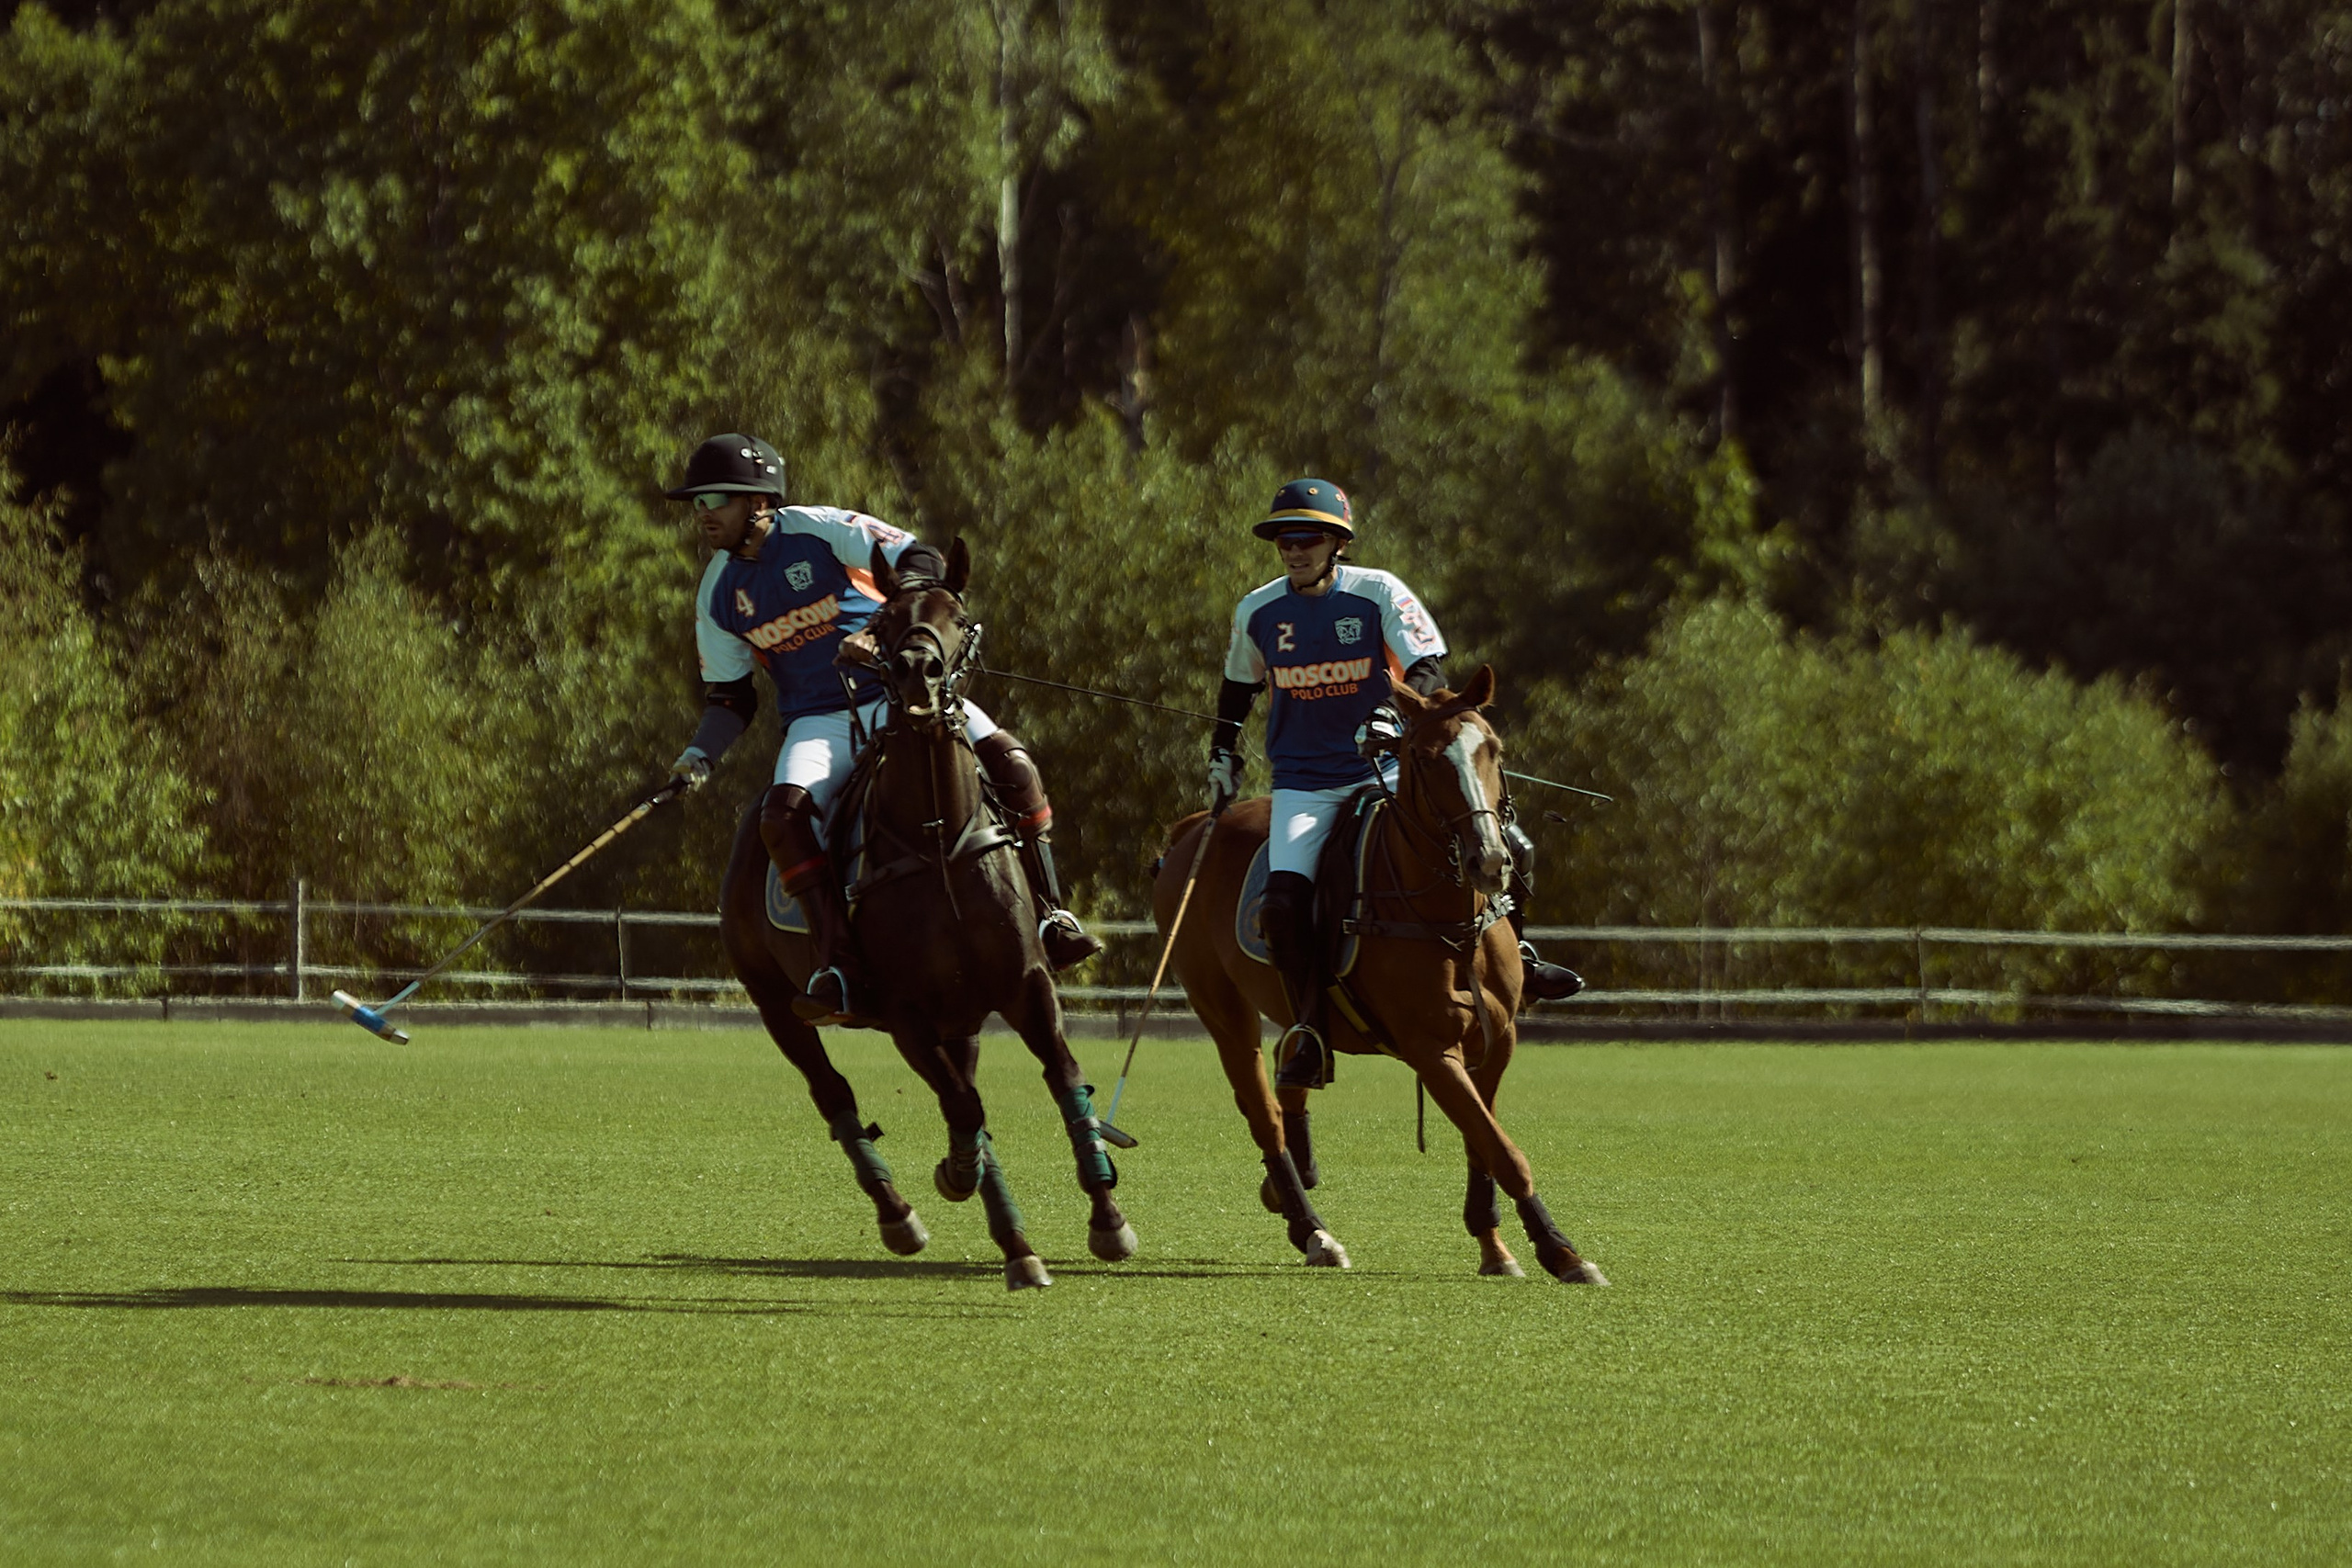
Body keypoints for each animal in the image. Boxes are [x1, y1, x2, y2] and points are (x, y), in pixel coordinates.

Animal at [718, 537, 1136, 1292]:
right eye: (883, 621)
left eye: (958, 616)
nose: (920, 671)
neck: (938, 835)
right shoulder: (904, 1011)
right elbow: (966, 1108)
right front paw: (971, 1190)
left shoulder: (1026, 982)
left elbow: (1061, 1080)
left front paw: (1107, 1216)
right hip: (774, 1000)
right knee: (837, 1092)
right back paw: (902, 1213)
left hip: (960, 1013)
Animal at [1153, 666, 1609, 1284]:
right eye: (1425, 756)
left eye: (1493, 749)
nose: (1489, 861)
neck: (1449, 918)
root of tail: (1195, 827)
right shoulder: (1430, 1050)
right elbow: (1503, 1150)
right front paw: (1561, 1252)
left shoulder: (1498, 1040)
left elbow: (1483, 1141)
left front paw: (1495, 1246)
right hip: (1221, 1007)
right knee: (1263, 1110)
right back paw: (1312, 1230)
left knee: (1291, 1074)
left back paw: (1287, 1184)